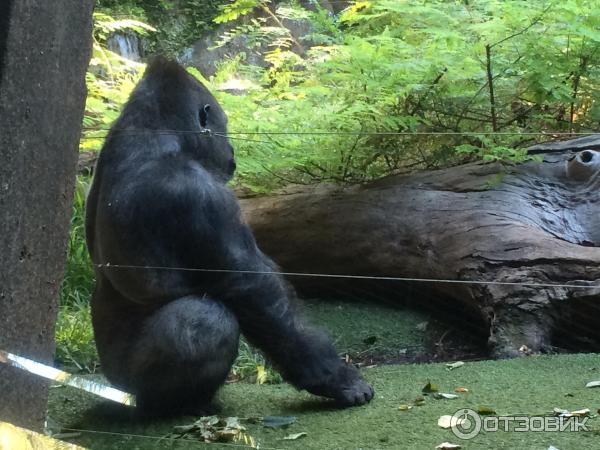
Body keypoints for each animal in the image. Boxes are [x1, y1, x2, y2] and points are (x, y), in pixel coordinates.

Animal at [86, 58, 372, 416]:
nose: (232, 148)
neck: (154, 132)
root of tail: (112, 384)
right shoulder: (196, 193)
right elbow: (252, 289)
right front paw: (335, 378)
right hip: (128, 381)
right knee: (205, 319)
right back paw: (176, 405)